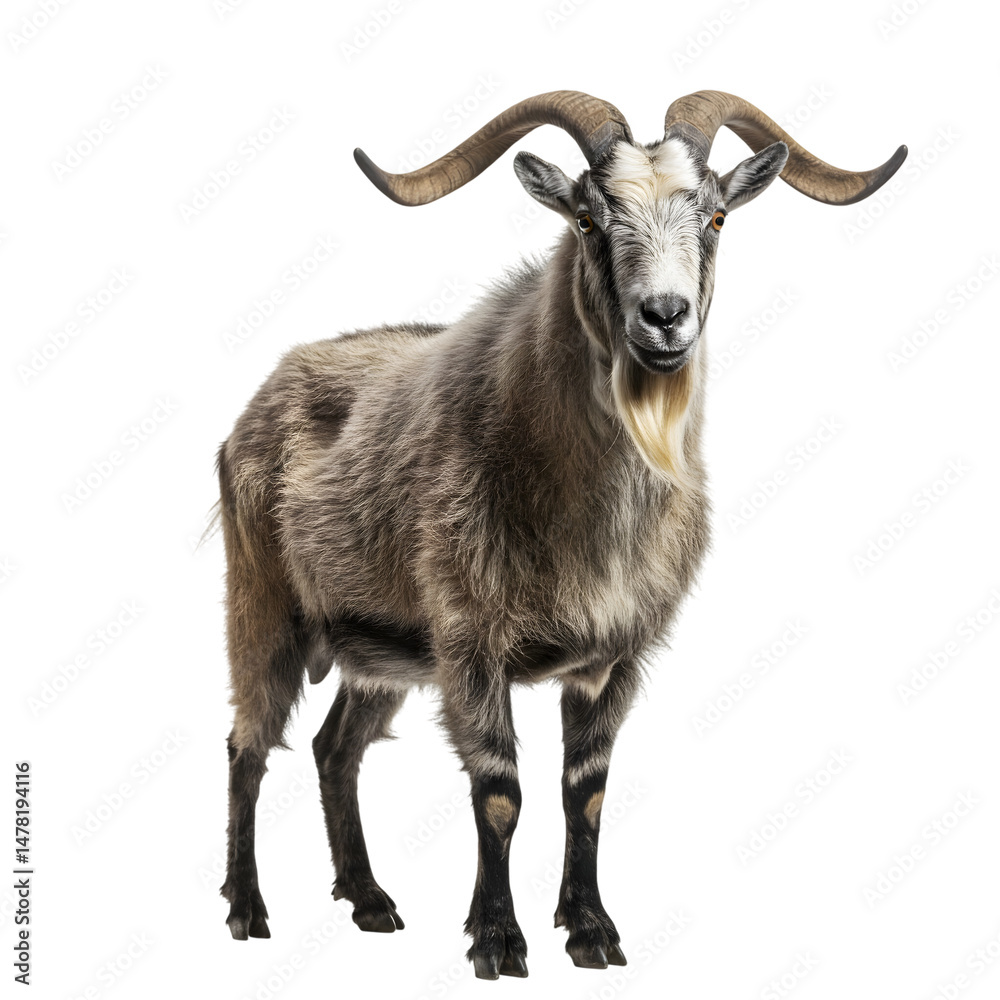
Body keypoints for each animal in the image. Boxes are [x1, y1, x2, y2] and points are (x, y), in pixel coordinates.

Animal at [218, 90, 905, 978]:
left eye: (716, 216)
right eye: (588, 218)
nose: (664, 318)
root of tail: (256, 406)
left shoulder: (614, 657)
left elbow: (587, 787)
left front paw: (591, 932)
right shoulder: (470, 644)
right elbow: (499, 788)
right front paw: (498, 942)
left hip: (379, 649)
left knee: (337, 749)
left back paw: (369, 902)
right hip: (263, 605)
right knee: (248, 744)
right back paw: (247, 910)